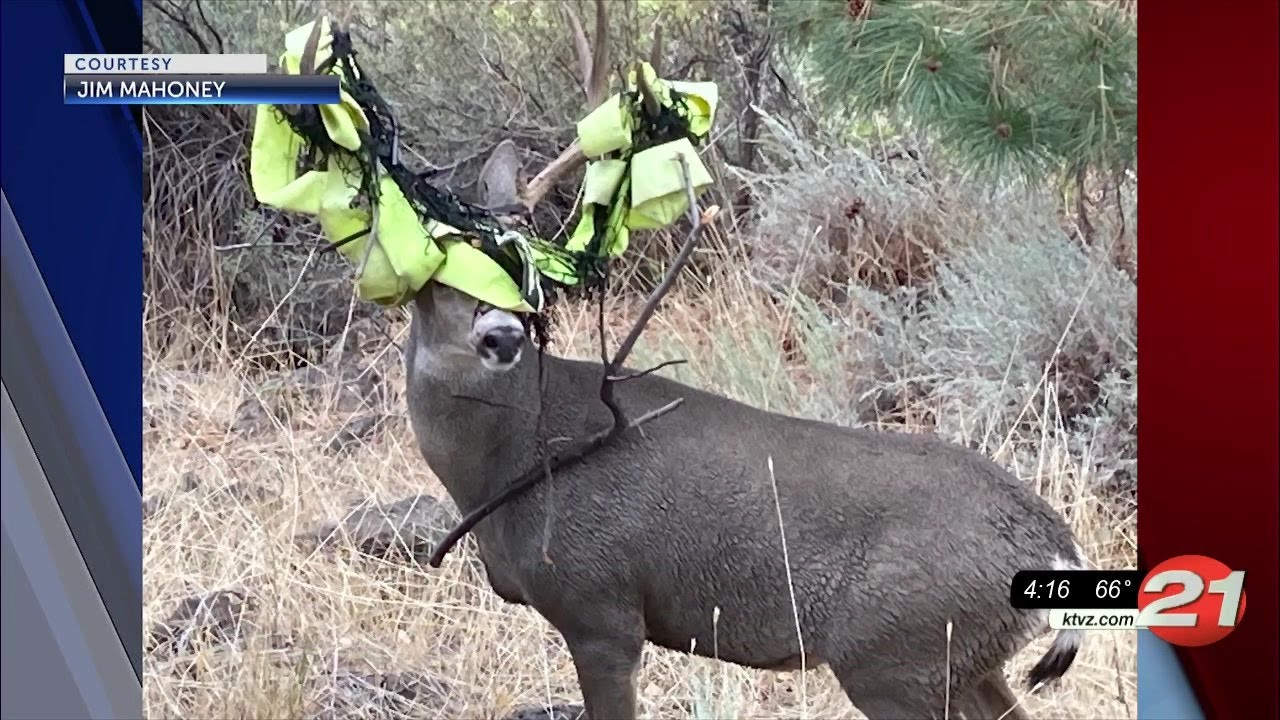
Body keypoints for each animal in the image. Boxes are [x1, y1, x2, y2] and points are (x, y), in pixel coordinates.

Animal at [404, 3, 1087, 719]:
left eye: (526, 271)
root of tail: (1055, 546)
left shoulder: (600, 607)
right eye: (436, 273)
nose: (502, 336)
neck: (507, 462)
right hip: (956, 662)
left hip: (896, 655)